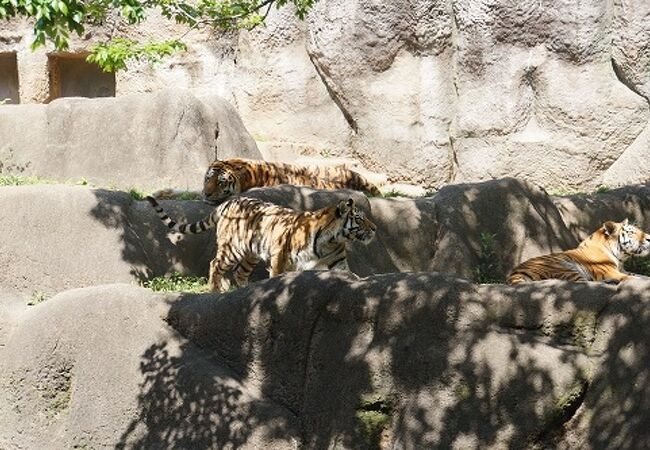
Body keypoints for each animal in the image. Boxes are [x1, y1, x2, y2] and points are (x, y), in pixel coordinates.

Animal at [144, 195, 372, 294]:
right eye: (359, 219)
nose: (375, 228)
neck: (333, 240)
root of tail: (227, 202)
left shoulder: (338, 261)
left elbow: (349, 274)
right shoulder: (281, 257)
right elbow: (278, 276)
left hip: (250, 255)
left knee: (239, 273)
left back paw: (244, 291)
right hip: (232, 250)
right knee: (215, 264)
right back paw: (216, 290)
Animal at [506, 219, 648, 284]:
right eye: (631, 232)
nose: (649, 237)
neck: (620, 257)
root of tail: (514, 274)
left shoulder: (623, 270)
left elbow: (642, 276)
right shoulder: (609, 271)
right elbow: (631, 278)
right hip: (565, 268)